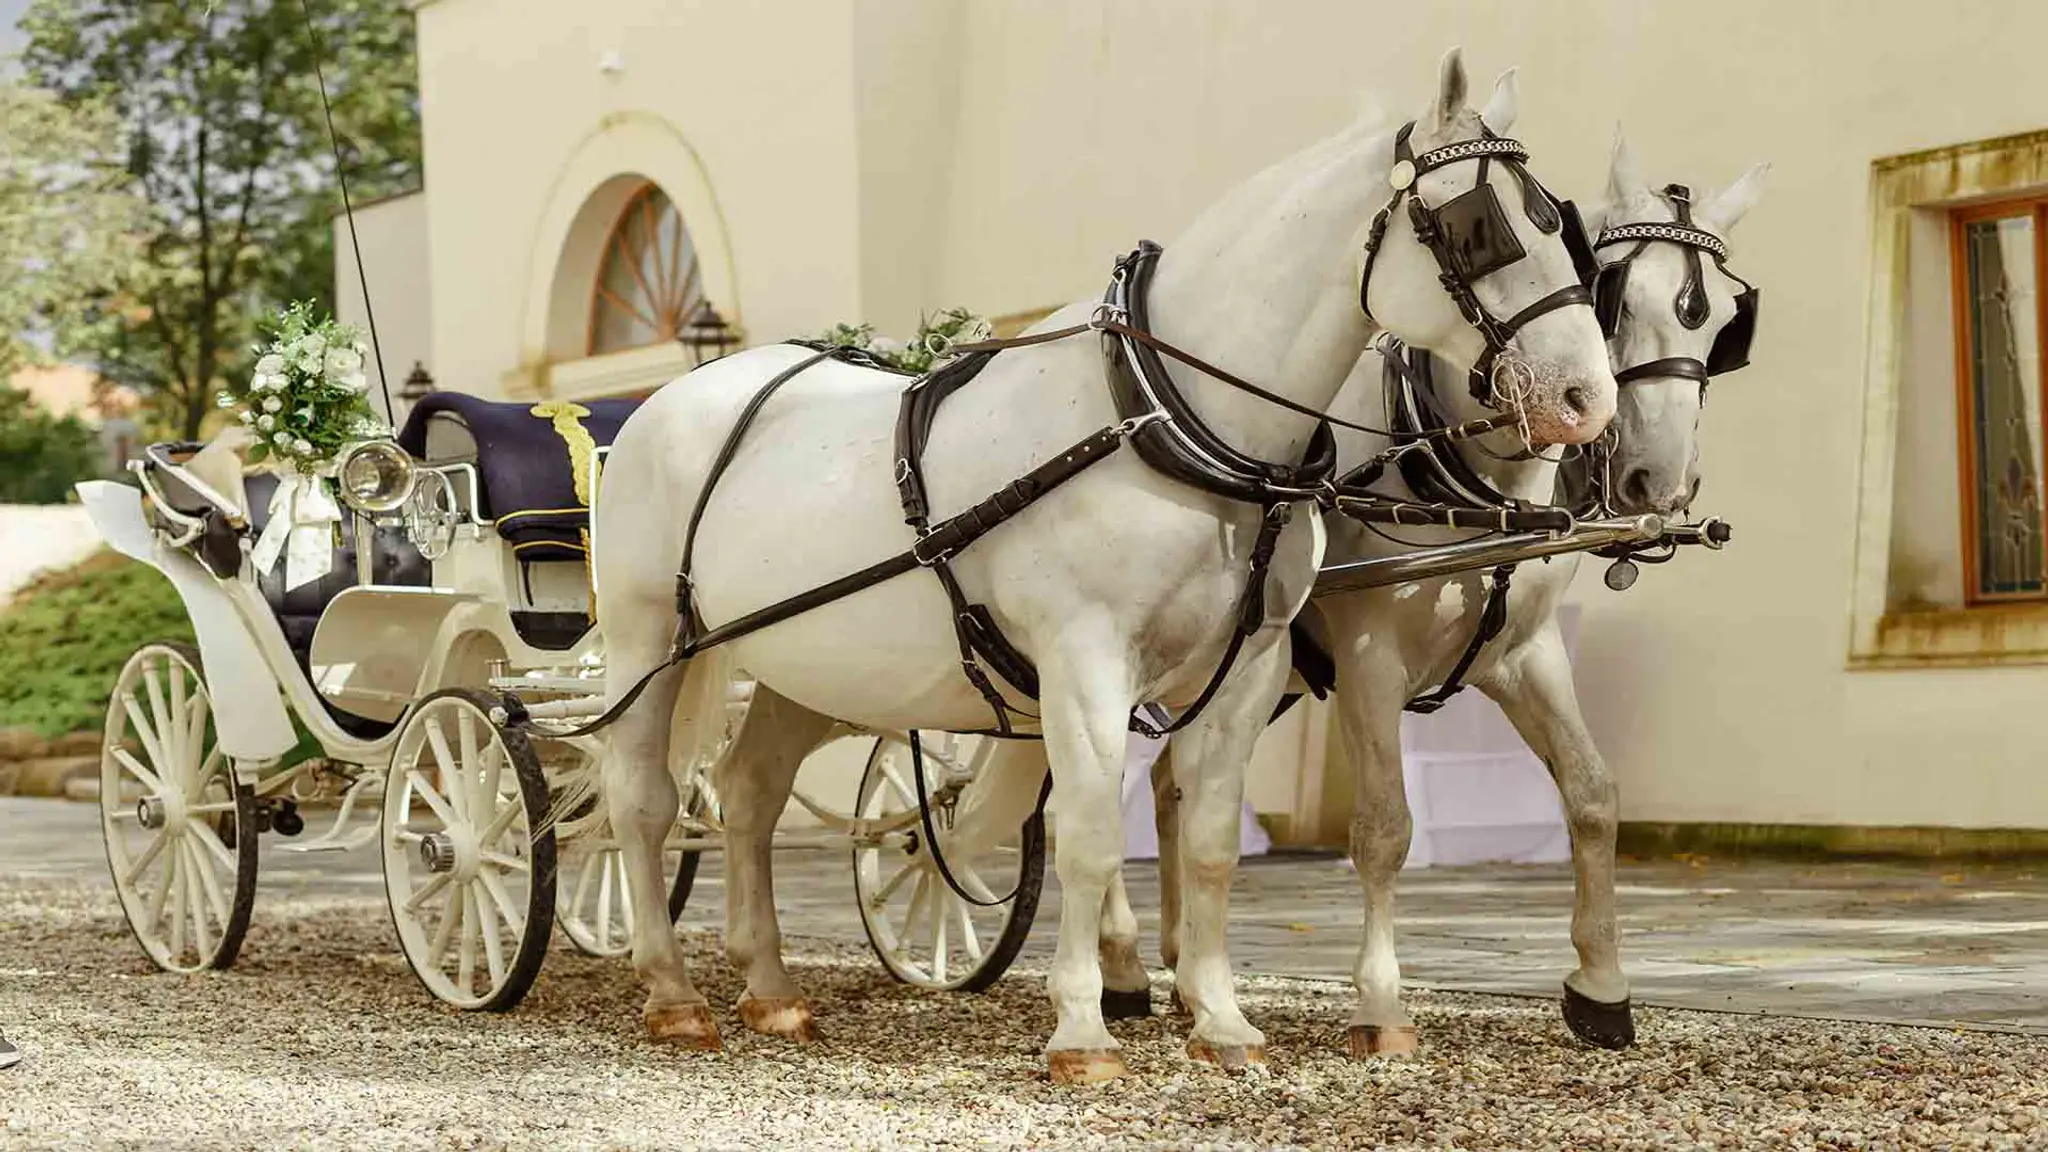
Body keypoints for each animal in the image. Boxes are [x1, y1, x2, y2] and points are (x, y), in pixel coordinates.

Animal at [592, 48, 1617, 1084]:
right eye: (1480, 226)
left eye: (1563, 225)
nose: (1587, 399)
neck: (1167, 414)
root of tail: (669, 397)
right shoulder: (1087, 664)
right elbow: (1087, 838)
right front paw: (1083, 1027)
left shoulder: (1249, 666)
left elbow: (1206, 842)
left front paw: (1220, 1020)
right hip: (647, 644)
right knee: (640, 803)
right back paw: (673, 993)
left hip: (803, 665)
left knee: (751, 794)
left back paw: (768, 987)